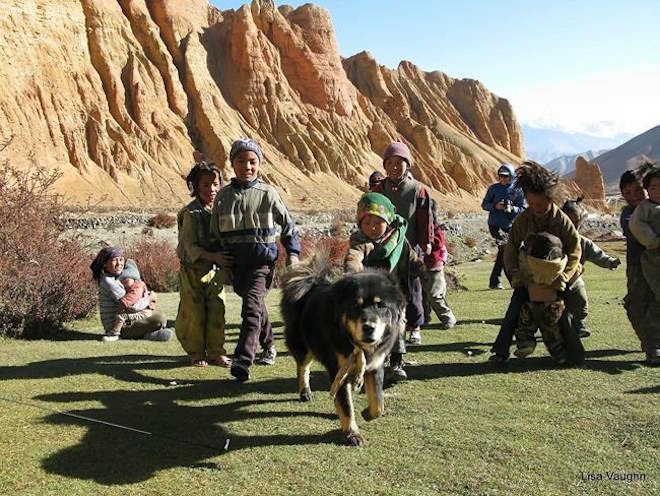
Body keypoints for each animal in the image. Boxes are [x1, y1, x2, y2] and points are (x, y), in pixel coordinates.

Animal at [280, 252, 404, 446]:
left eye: (380, 305)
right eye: (356, 305)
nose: (369, 327)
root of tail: (311, 282)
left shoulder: (375, 365)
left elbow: (378, 403)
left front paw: (367, 413)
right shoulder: (340, 370)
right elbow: (345, 405)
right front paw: (352, 433)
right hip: (305, 346)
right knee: (303, 367)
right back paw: (305, 392)